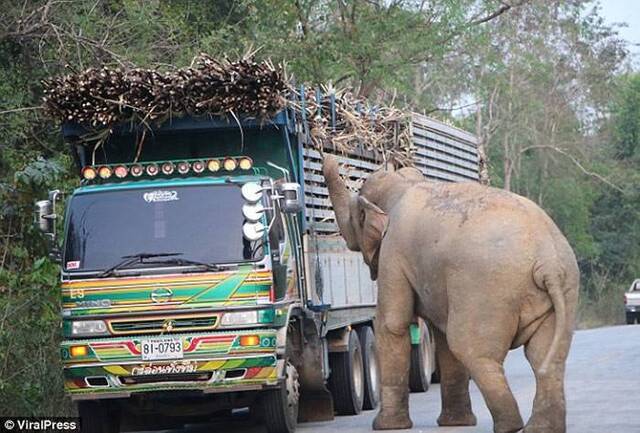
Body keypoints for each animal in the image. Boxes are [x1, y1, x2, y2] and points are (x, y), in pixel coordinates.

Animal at [322, 155, 576, 432]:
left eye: (355, 215)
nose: (329, 156)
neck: (403, 184)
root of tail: (548, 261)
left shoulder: (393, 252)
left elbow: (392, 324)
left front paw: (386, 427)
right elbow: (440, 336)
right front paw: (456, 423)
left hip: (485, 291)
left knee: (472, 349)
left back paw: (511, 426)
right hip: (560, 289)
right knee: (545, 357)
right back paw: (539, 428)